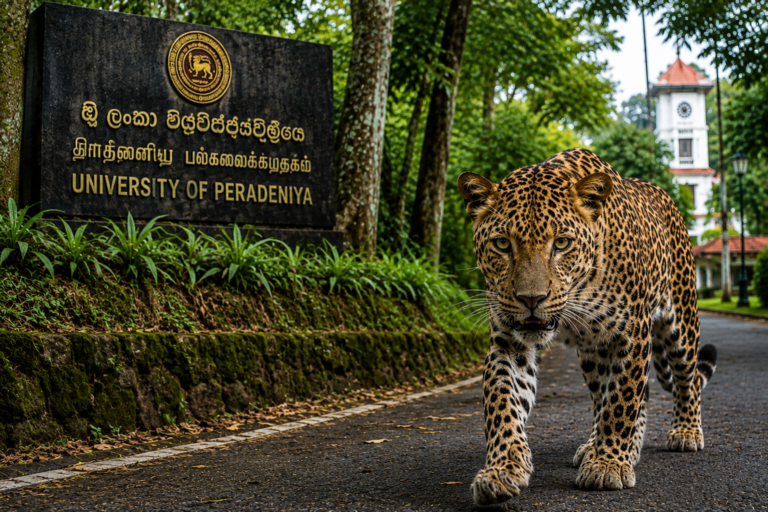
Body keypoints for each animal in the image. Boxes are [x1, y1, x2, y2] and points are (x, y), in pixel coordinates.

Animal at [456, 148, 718, 505]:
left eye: (562, 243)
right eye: (502, 244)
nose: (531, 299)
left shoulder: (632, 332)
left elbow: (622, 400)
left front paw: (607, 466)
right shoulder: (509, 340)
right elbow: (502, 402)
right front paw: (502, 470)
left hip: (681, 319)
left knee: (685, 379)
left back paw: (685, 431)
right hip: (593, 352)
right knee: (615, 392)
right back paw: (611, 447)